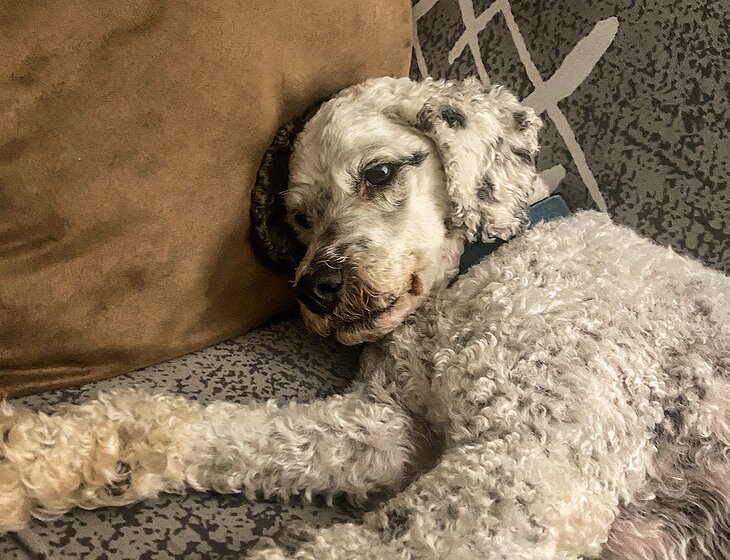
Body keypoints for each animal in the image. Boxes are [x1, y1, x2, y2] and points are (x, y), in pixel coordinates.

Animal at [1, 77, 729, 559]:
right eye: (299, 217)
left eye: (379, 173)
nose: (315, 290)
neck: (467, 286)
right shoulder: (393, 427)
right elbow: (232, 432)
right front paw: (47, 456)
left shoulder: (526, 469)